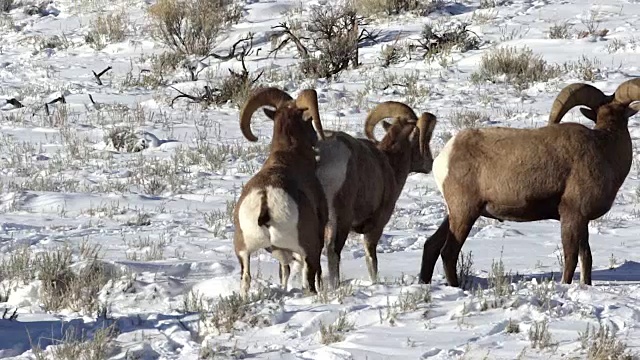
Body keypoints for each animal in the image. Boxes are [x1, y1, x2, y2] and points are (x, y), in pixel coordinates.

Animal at [232, 86, 328, 296]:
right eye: (308, 120)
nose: (315, 137)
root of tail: (265, 199)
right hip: (308, 248)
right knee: (309, 280)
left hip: (244, 252)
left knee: (246, 279)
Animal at [262, 100, 438, 286]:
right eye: (424, 138)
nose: (430, 163)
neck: (389, 163)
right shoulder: (375, 226)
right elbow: (371, 259)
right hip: (339, 219)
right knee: (332, 251)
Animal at [418, 78, 640, 286]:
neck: (605, 149)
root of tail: (444, 157)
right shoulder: (572, 215)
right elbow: (571, 258)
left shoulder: (582, 220)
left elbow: (586, 257)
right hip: (465, 213)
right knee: (449, 252)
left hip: (455, 214)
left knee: (431, 246)